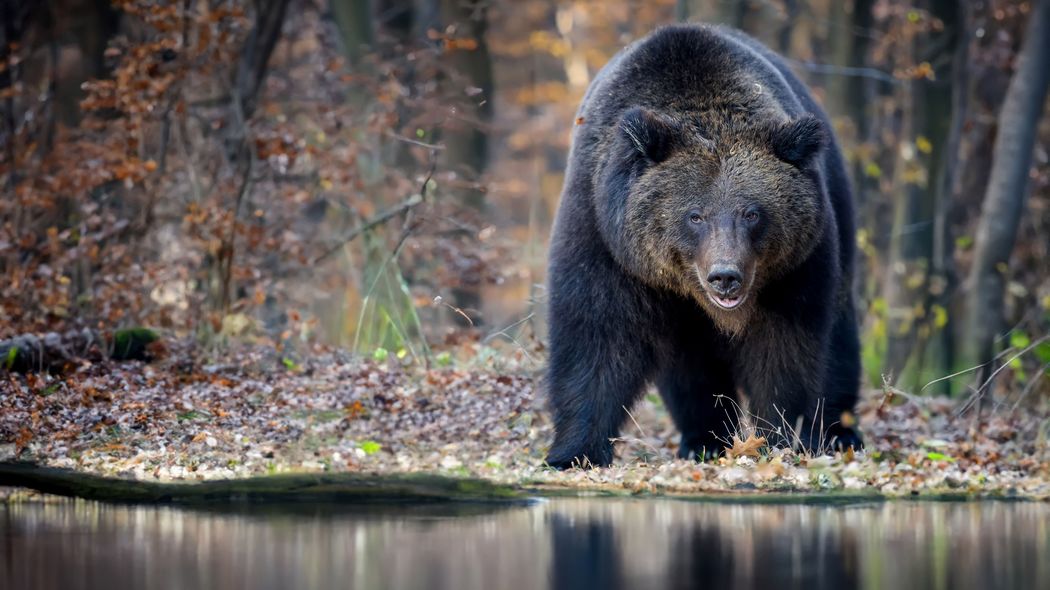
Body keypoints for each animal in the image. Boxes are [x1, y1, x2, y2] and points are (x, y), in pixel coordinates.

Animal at [545, 24, 862, 469]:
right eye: (695, 215)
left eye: (752, 212)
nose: (725, 276)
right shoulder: (605, 235)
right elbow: (596, 334)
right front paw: (575, 451)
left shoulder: (794, 268)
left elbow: (786, 347)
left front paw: (784, 437)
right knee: (689, 367)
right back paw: (703, 439)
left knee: (840, 336)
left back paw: (840, 431)